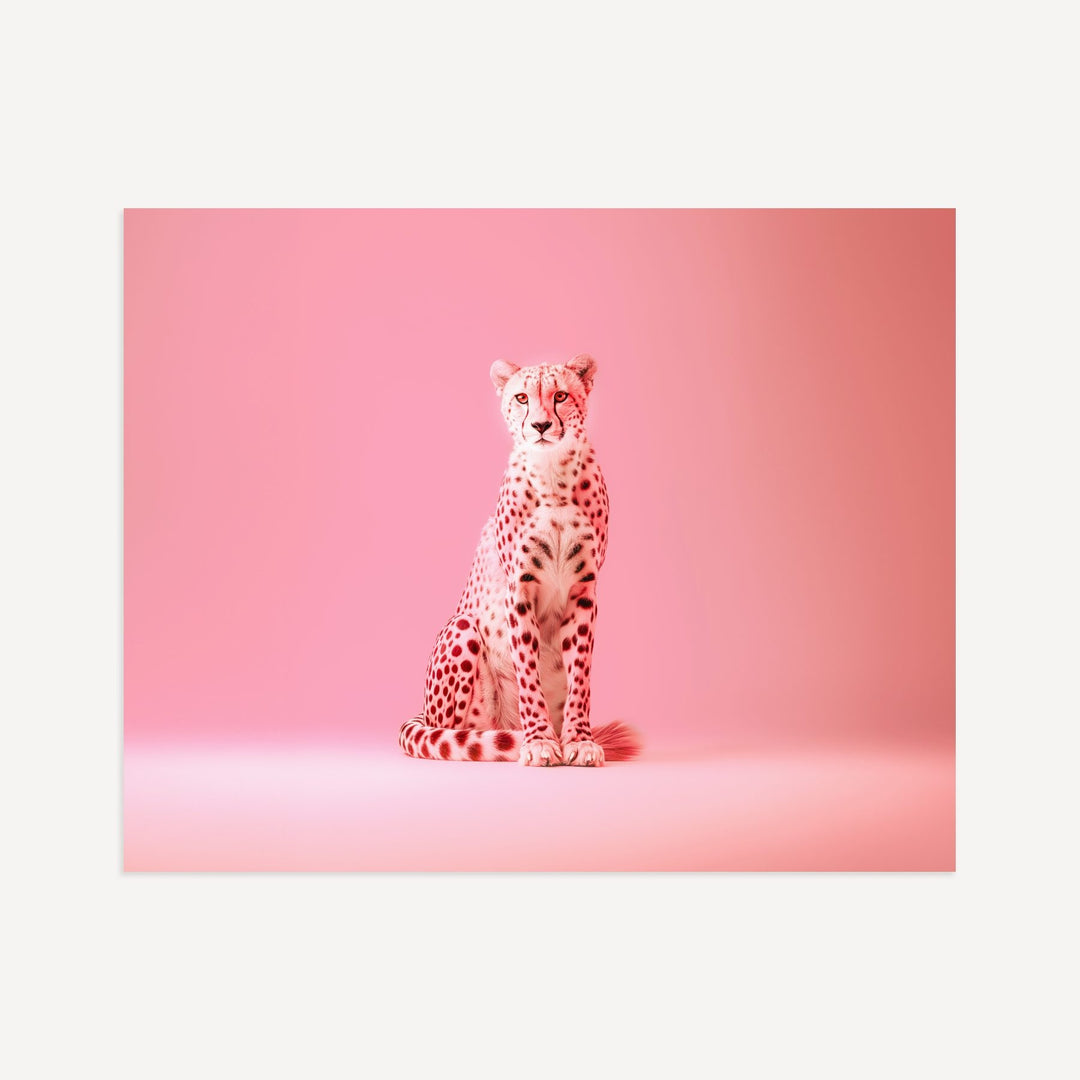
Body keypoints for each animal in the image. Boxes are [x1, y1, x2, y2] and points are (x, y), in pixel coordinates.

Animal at [398, 353, 641, 766]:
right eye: (522, 397)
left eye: (560, 395)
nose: (541, 425)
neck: (553, 475)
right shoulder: (520, 589)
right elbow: (528, 671)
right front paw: (540, 740)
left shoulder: (584, 590)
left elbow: (580, 674)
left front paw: (578, 740)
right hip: (463, 629)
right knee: (449, 733)